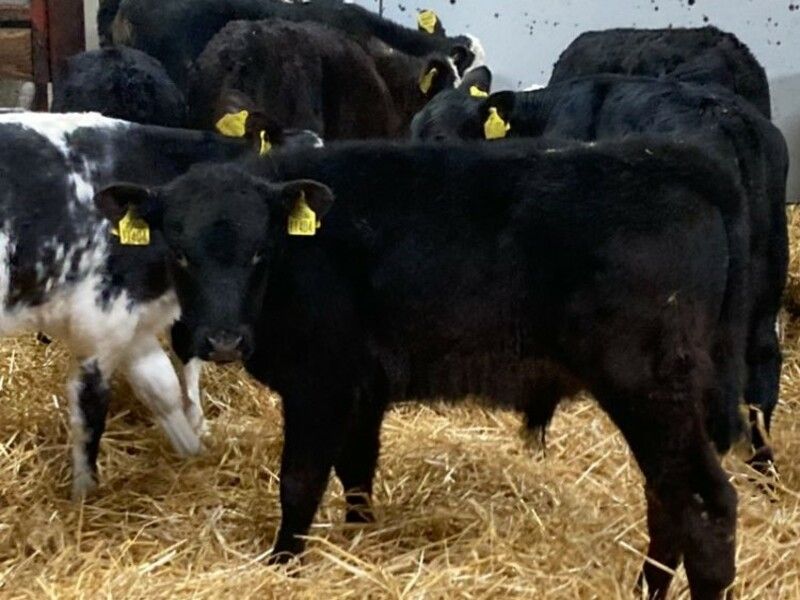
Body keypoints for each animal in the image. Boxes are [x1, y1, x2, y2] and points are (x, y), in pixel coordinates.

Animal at [0, 111, 321, 500]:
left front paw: (195, 453)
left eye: (260, 251)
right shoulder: (100, 321)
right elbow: (89, 410)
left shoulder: (135, 321)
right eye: (181, 253)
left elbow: (162, 388)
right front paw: (83, 497)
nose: (226, 343)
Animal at [95, 138, 746, 599]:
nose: (224, 339)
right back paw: (646, 589)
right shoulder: (363, 387)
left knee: (706, 504)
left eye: (261, 251)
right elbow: (357, 468)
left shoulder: (320, 384)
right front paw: (360, 535)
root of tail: (672, 160)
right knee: (667, 496)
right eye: (179, 252)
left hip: (649, 386)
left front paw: (283, 566)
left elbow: (300, 482)